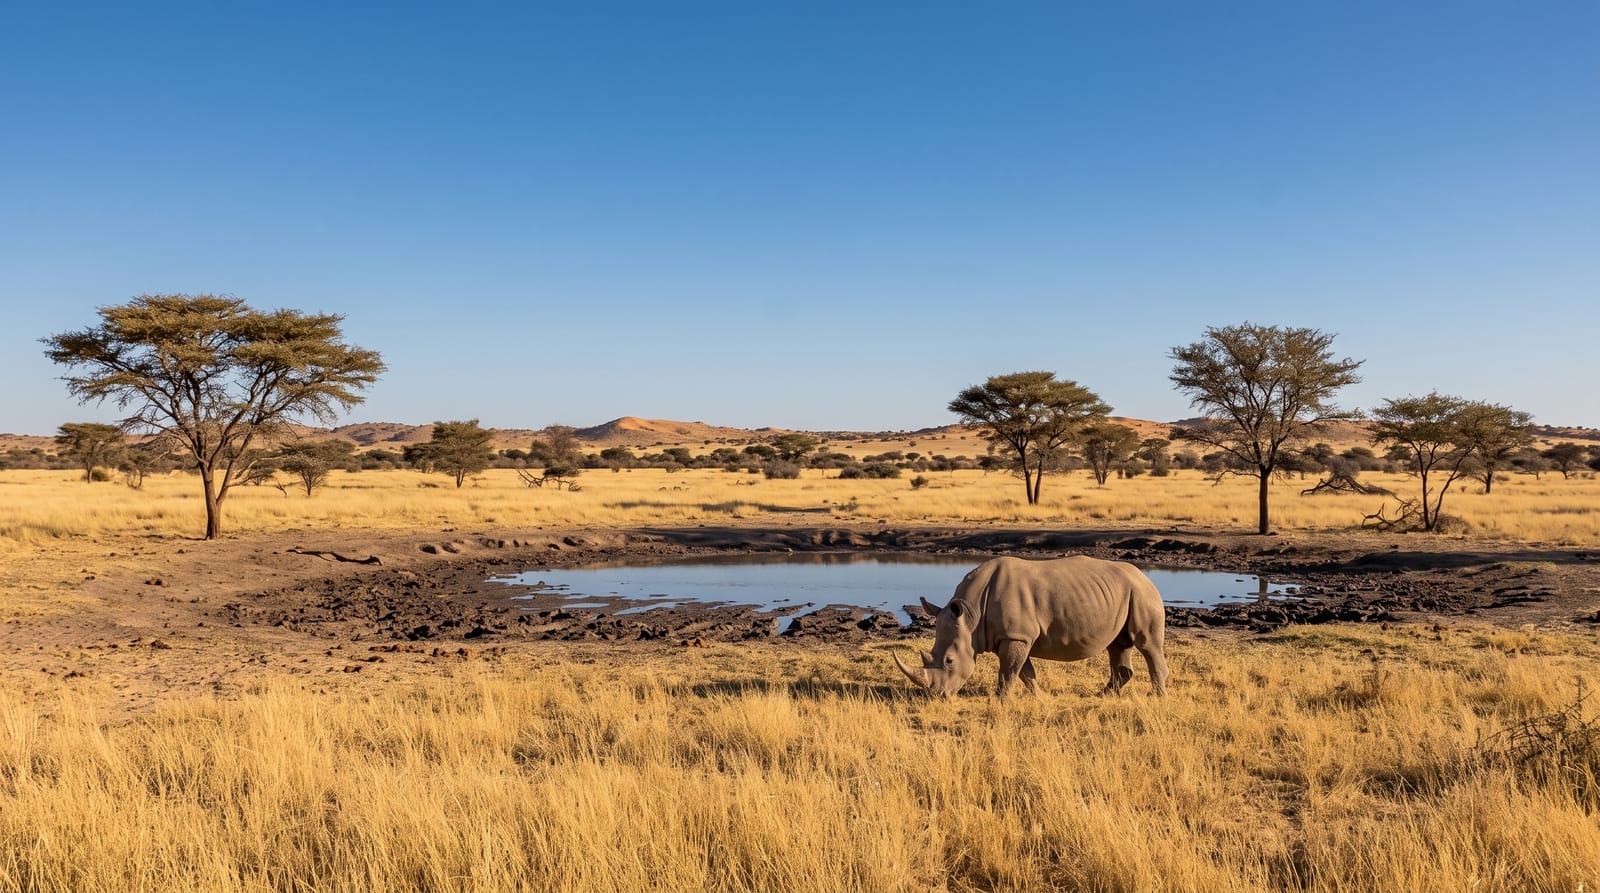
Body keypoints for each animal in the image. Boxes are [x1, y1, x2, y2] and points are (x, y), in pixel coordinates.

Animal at [893, 555, 1168, 697]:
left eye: (949, 661)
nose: (936, 696)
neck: (970, 616)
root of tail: (1145, 576)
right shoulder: (1017, 636)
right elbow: (1024, 671)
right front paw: (1040, 698)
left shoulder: (1016, 636)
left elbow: (1009, 671)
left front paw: (1000, 700)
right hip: (1124, 593)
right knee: (1118, 644)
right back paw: (1105, 695)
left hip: (1142, 593)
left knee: (1147, 644)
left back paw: (1156, 697)